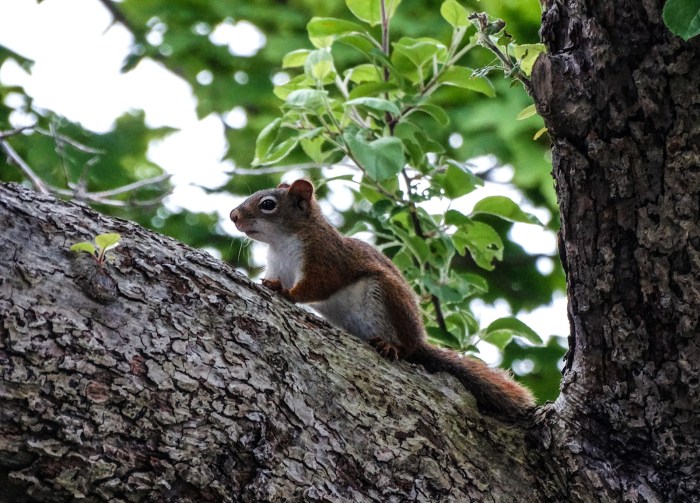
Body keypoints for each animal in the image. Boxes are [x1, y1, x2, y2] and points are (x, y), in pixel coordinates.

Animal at [230, 179, 535, 417]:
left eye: (268, 204)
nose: (233, 215)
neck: (281, 242)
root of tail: (418, 340)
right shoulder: (278, 266)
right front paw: (271, 284)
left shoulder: (326, 259)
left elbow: (318, 286)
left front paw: (286, 293)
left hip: (385, 296)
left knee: (404, 349)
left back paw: (391, 347)